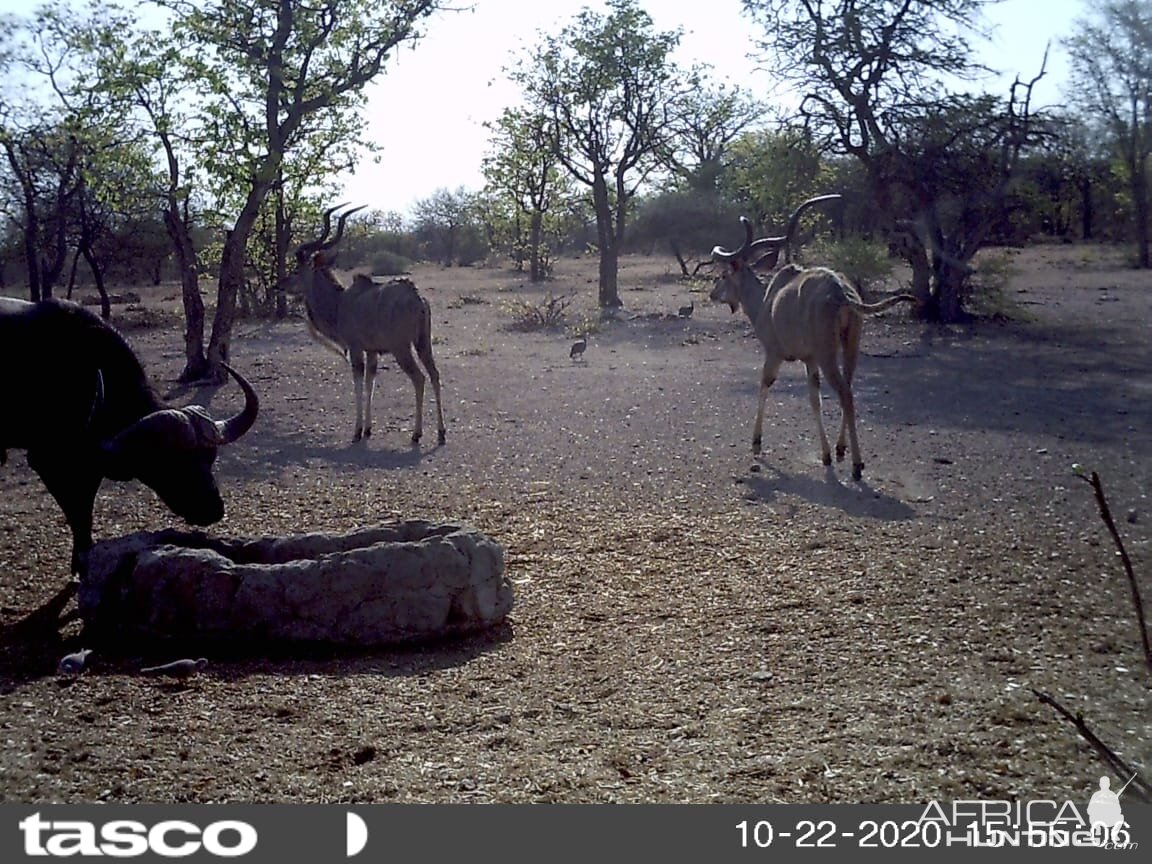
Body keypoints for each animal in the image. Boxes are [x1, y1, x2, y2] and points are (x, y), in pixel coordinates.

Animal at [0, 299, 260, 582]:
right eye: (171, 462)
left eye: (209, 458)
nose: (213, 508)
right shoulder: (49, 462)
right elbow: (78, 512)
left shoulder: (90, 463)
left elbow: (86, 508)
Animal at [288, 205, 444, 446]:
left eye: (296, 271)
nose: (279, 285)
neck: (339, 303)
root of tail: (417, 298)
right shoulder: (372, 352)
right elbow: (370, 383)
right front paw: (368, 429)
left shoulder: (355, 349)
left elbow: (358, 384)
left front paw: (357, 431)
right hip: (423, 343)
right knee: (435, 375)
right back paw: (441, 433)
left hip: (402, 349)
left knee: (419, 378)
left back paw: (416, 434)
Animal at [705, 195, 912, 481]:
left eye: (724, 275)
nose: (713, 294)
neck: (766, 301)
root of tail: (842, 293)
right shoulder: (809, 360)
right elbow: (815, 400)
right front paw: (826, 455)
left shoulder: (775, 354)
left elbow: (765, 386)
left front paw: (756, 443)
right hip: (850, 347)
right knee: (849, 387)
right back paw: (841, 450)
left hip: (828, 354)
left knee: (845, 394)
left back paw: (857, 465)